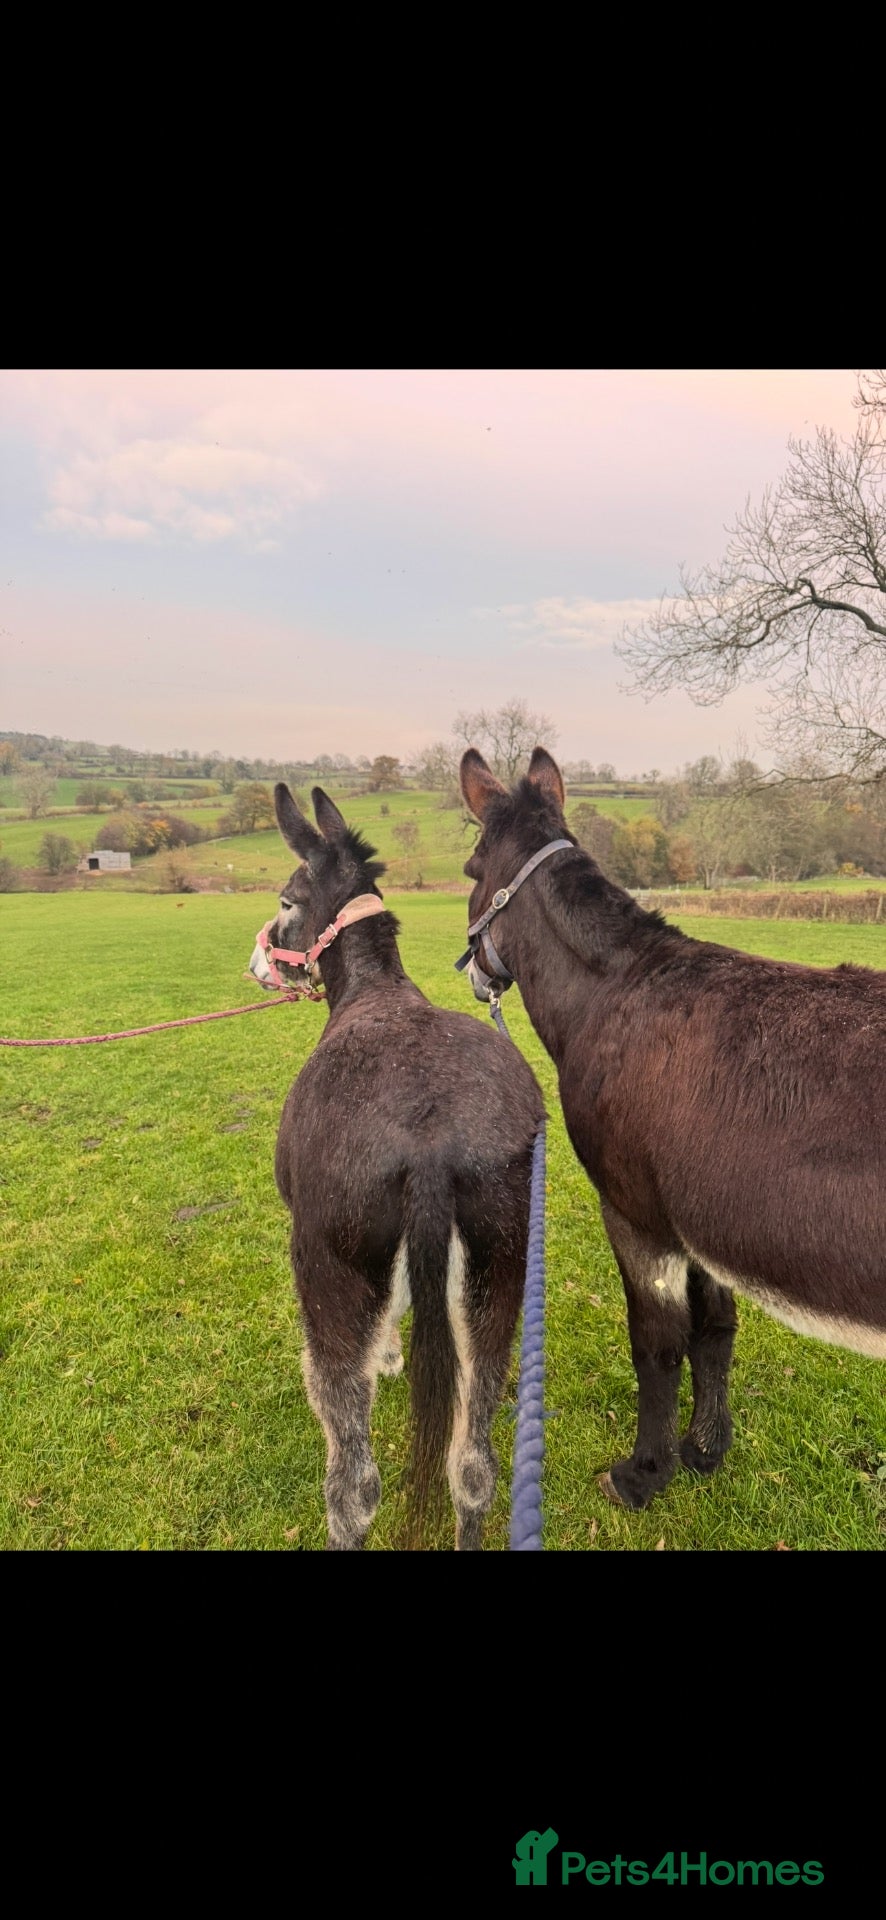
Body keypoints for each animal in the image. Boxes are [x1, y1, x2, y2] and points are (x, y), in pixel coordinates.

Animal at [248, 782, 544, 1550]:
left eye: (286, 899)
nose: (257, 967)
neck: (372, 989)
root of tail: (431, 1140)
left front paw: (384, 1355)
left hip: (327, 1272)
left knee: (353, 1485)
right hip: (501, 1264)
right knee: (474, 1465)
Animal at [458, 745, 886, 1513]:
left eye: (472, 871)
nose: (475, 972)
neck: (610, 991)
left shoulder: (636, 1212)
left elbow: (656, 1343)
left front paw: (643, 1474)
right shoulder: (701, 1219)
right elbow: (715, 1330)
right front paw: (706, 1450)